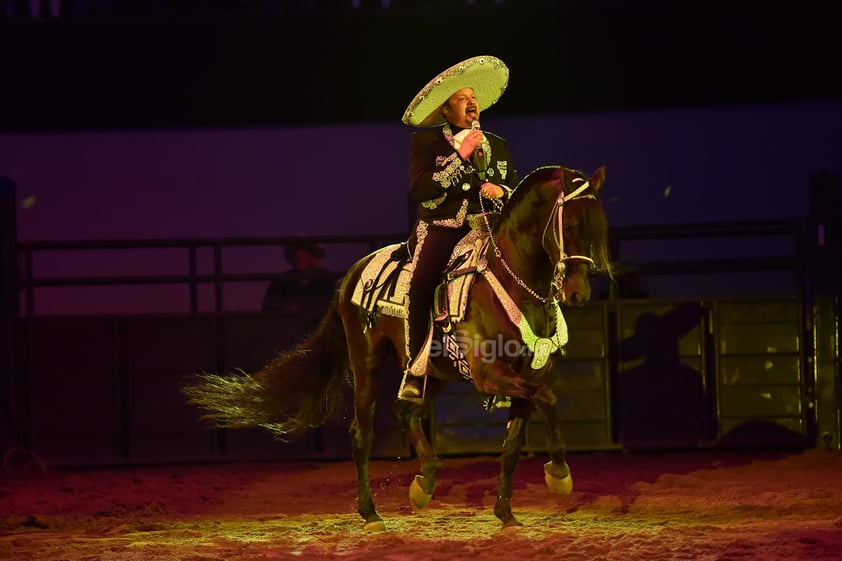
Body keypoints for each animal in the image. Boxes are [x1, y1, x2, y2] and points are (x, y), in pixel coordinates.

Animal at [184, 165, 612, 528]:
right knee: (363, 432)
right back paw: (372, 513)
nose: (578, 293)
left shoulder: (528, 374)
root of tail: (353, 273)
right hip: (367, 361)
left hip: (431, 371)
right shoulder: (489, 374)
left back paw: (425, 482)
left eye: (598, 227)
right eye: (571, 224)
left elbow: (516, 440)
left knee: (406, 409)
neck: (509, 282)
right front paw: (560, 475)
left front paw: (507, 515)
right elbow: (549, 400)